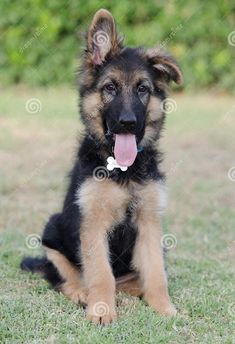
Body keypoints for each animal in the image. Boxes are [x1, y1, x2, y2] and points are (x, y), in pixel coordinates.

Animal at [21, 8, 183, 326]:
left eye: (143, 89)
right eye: (110, 88)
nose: (128, 123)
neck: (123, 170)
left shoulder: (149, 222)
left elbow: (156, 274)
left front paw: (164, 308)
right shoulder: (93, 224)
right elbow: (99, 273)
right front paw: (101, 310)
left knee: (134, 279)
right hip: (52, 229)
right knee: (63, 277)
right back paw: (82, 293)